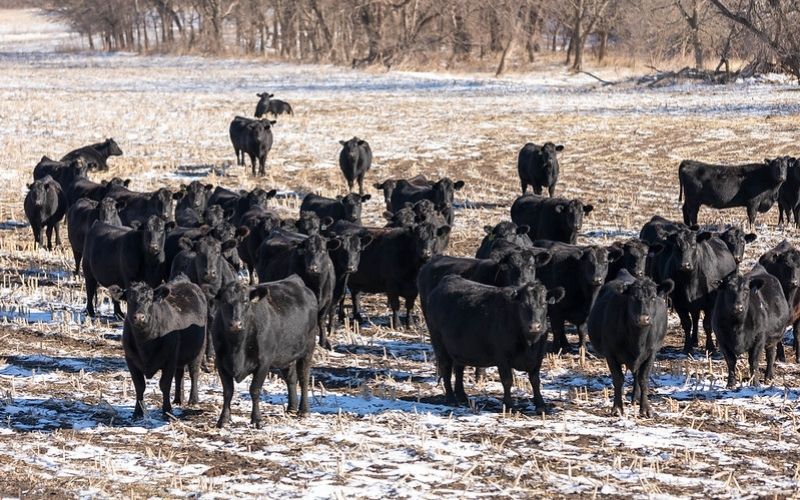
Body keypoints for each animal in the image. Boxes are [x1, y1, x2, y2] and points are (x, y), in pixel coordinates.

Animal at [108, 276, 206, 419]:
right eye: (129, 300)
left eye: (150, 300)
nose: (139, 317)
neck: (145, 342)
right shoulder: (131, 360)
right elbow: (139, 386)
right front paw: (138, 412)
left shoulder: (170, 359)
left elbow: (165, 384)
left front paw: (167, 411)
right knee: (179, 374)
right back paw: (178, 399)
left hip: (198, 351)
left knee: (194, 373)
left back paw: (193, 400)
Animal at [212, 277, 318, 428]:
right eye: (224, 301)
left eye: (245, 301)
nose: (236, 324)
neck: (237, 347)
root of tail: (295, 280)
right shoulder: (221, 362)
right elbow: (228, 391)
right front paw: (223, 419)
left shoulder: (264, 363)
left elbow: (254, 390)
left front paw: (257, 419)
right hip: (286, 355)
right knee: (291, 378)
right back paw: (291, 408)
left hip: (308, 348)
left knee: (303, 378)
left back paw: (303, 411)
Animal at [426, 275, 563, 411]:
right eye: (523, 305)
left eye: (544, 303)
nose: (534, 326)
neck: (529, 343)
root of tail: (450, 278)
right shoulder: (502, 356)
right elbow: (507, 380)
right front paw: (509, 405)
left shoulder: (539, 355)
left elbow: (535, 380)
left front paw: (541, 405)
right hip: (439, 343)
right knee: (446, 369)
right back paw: (451, 399)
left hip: (459, 348)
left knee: (459, 369)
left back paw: (462, 396)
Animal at [588, 270, 673, 417]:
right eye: (633, 298)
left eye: (653, 298)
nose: (643, 318)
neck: (638, 340)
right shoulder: (610, 353)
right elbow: (618, 379)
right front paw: (617, 408)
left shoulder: (651, 353)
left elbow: (643, 379)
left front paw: (646, 409)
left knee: (637, 376)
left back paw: (635, 398)